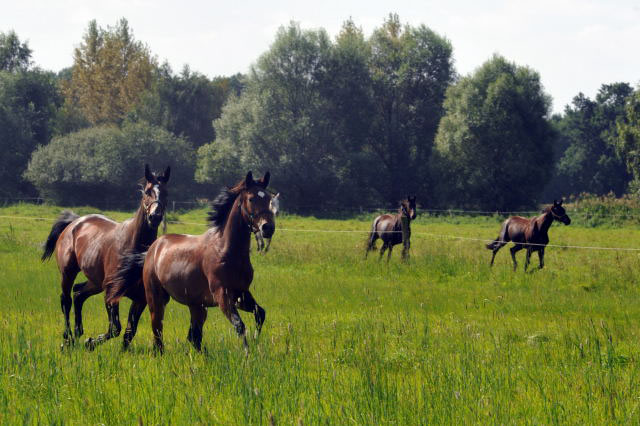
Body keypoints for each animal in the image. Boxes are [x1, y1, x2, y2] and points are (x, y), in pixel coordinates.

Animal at [42, 165, 170, 348]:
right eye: (147, 191)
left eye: (166, 192)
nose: (155, 216)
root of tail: (74, 222)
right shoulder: (111, 294)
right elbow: (115, 328)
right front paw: (90, 342)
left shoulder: (140, 299)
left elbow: (129, 332)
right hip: (68, 273)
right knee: (66, 300)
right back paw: (67, 339)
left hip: (96, 282)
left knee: (78, 293)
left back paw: (78, 332)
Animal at [105, 171, 276, 352]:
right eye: (251, 199)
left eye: (269, 199)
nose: (267, 227)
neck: (225, 250)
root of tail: (153, 248)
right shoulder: (222, 295)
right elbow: (239, 325)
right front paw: (247, 354)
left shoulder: (241, 294)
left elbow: (260, 314)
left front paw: (256, 343)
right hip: (156, 298)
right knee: (158, 331)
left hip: (197, 306)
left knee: (193, 337)